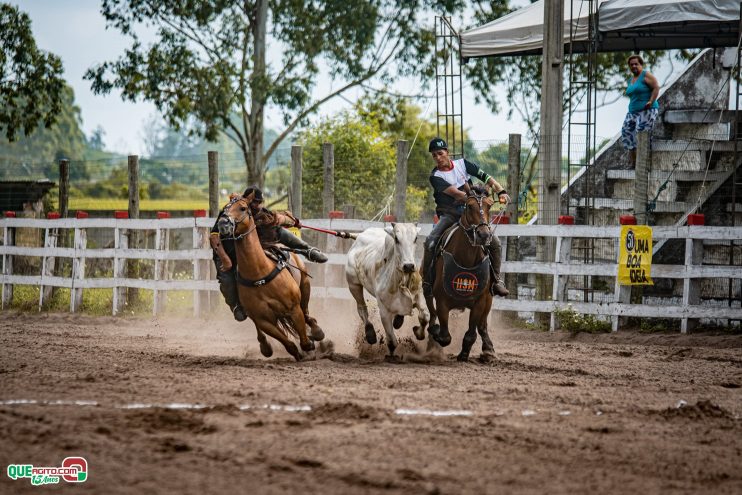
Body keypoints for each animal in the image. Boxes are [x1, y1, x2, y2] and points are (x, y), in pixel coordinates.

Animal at [217, 193, 324, 360]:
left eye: (242, 208)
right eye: (225, 209)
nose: (223, 223)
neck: (259, 273)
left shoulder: (293, 309)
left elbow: (304, 339)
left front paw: (311, 342)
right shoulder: (264, 320)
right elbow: (290, 344)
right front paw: (298, 353)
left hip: (305, 285)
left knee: (306, 312)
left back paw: (317, 331)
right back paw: (266, 346)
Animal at [344, 223, 430, 358]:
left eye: (416, 238)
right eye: (396, 239)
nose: (409, 266)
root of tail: (360, 236)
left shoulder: (419, 295)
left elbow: (425, 317)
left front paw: (418, 333)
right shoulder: (384, 310)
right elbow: (391, 340)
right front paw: (391, 355)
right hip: (353, 285)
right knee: (362, 308)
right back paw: (370, 334)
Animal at [424, 184, 500, 362]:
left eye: (489, 205)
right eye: (469, 206)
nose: (484, 235)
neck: (466, 258)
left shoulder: (480, 301)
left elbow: (471, 333)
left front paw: (464, 354)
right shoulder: (442, 302)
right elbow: (444, 336)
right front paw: (435, 334)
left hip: (489, 299)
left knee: (482, 326)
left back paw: (488, 350)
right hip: (427, 292)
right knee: (432, 314)